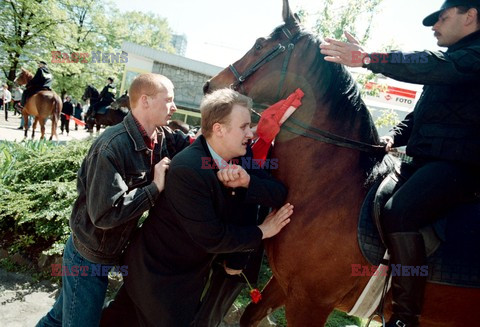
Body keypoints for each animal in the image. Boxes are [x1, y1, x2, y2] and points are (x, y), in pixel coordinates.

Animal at [204, 1, 480, 326]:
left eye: (260, 45)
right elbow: (250, 315)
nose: (211, 86)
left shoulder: (310, 302)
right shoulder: (285, 285)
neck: (331, 188)